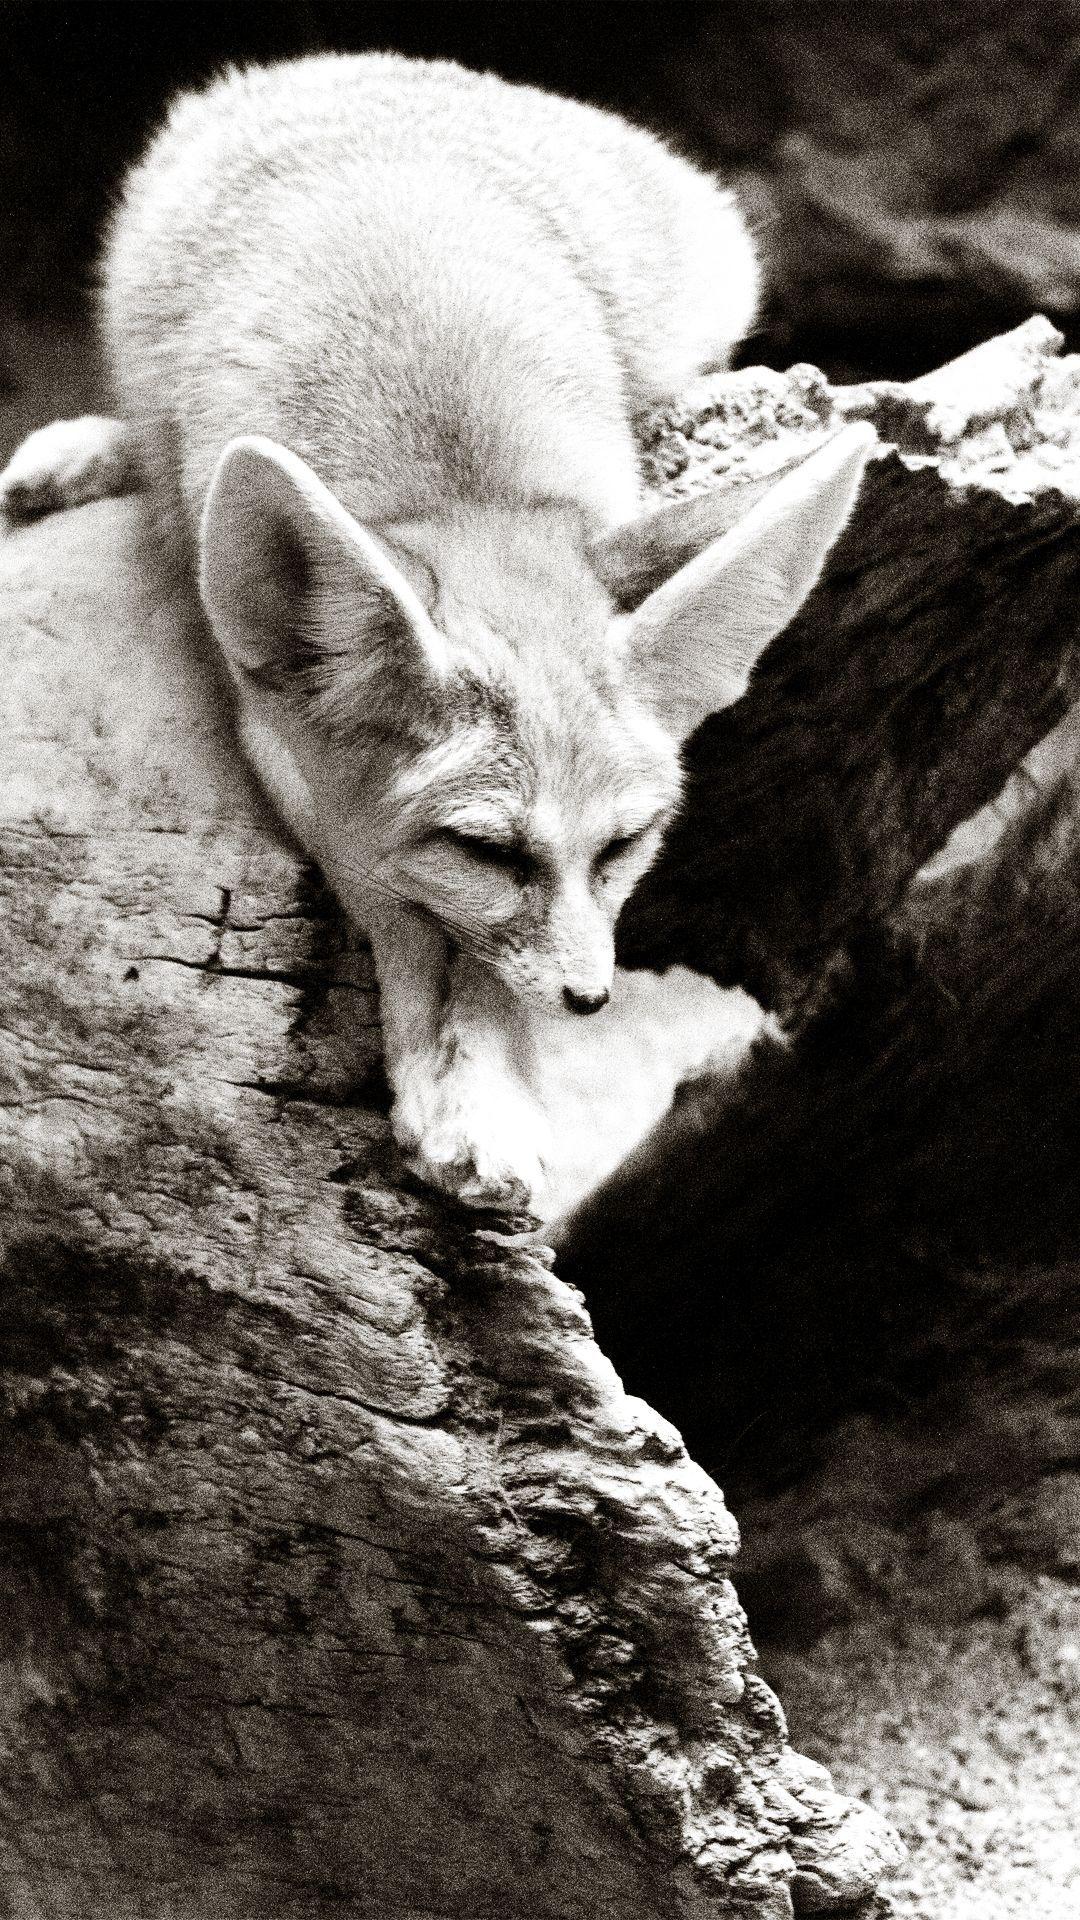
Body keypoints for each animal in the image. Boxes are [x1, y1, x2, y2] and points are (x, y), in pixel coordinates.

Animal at [0, 52, 874, 1217]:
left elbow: (489, 969)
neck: (458, 481)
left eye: (623, 848)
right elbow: (413, 910)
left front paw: (493, 1080)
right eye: (487, 850)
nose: (591, 1000)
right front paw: (454, 1069)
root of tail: (417, 67)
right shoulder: (281, 742)